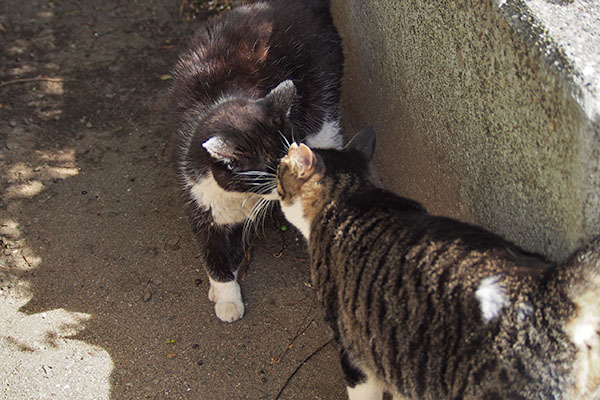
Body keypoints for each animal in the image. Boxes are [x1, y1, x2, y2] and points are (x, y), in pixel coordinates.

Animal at [171, 0, 344, 320]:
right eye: (267, 172)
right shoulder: (194, 197)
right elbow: (213, 253)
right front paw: (223, 292)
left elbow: (235, 247)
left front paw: (227, 301)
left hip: (322, 104)